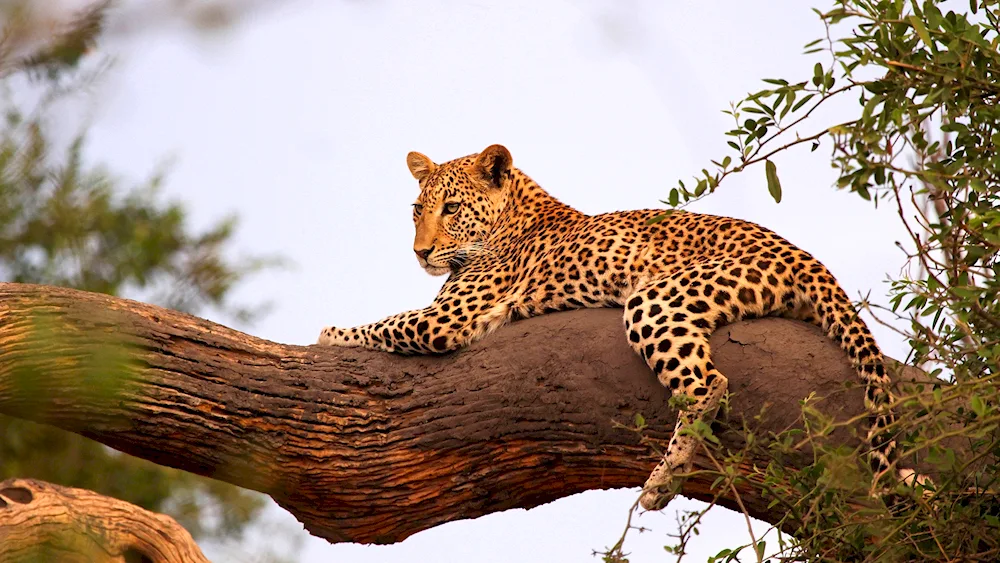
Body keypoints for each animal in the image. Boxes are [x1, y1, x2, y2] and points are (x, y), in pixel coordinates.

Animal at [316, 142, 912, 512]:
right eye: (417, 209)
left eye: (452, 209)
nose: (420, 253)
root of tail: (804, 254)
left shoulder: (447, 318)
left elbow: (382, 324)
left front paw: (325, 335)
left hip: (656, 298)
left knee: (708, 386)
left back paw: (662, 483)